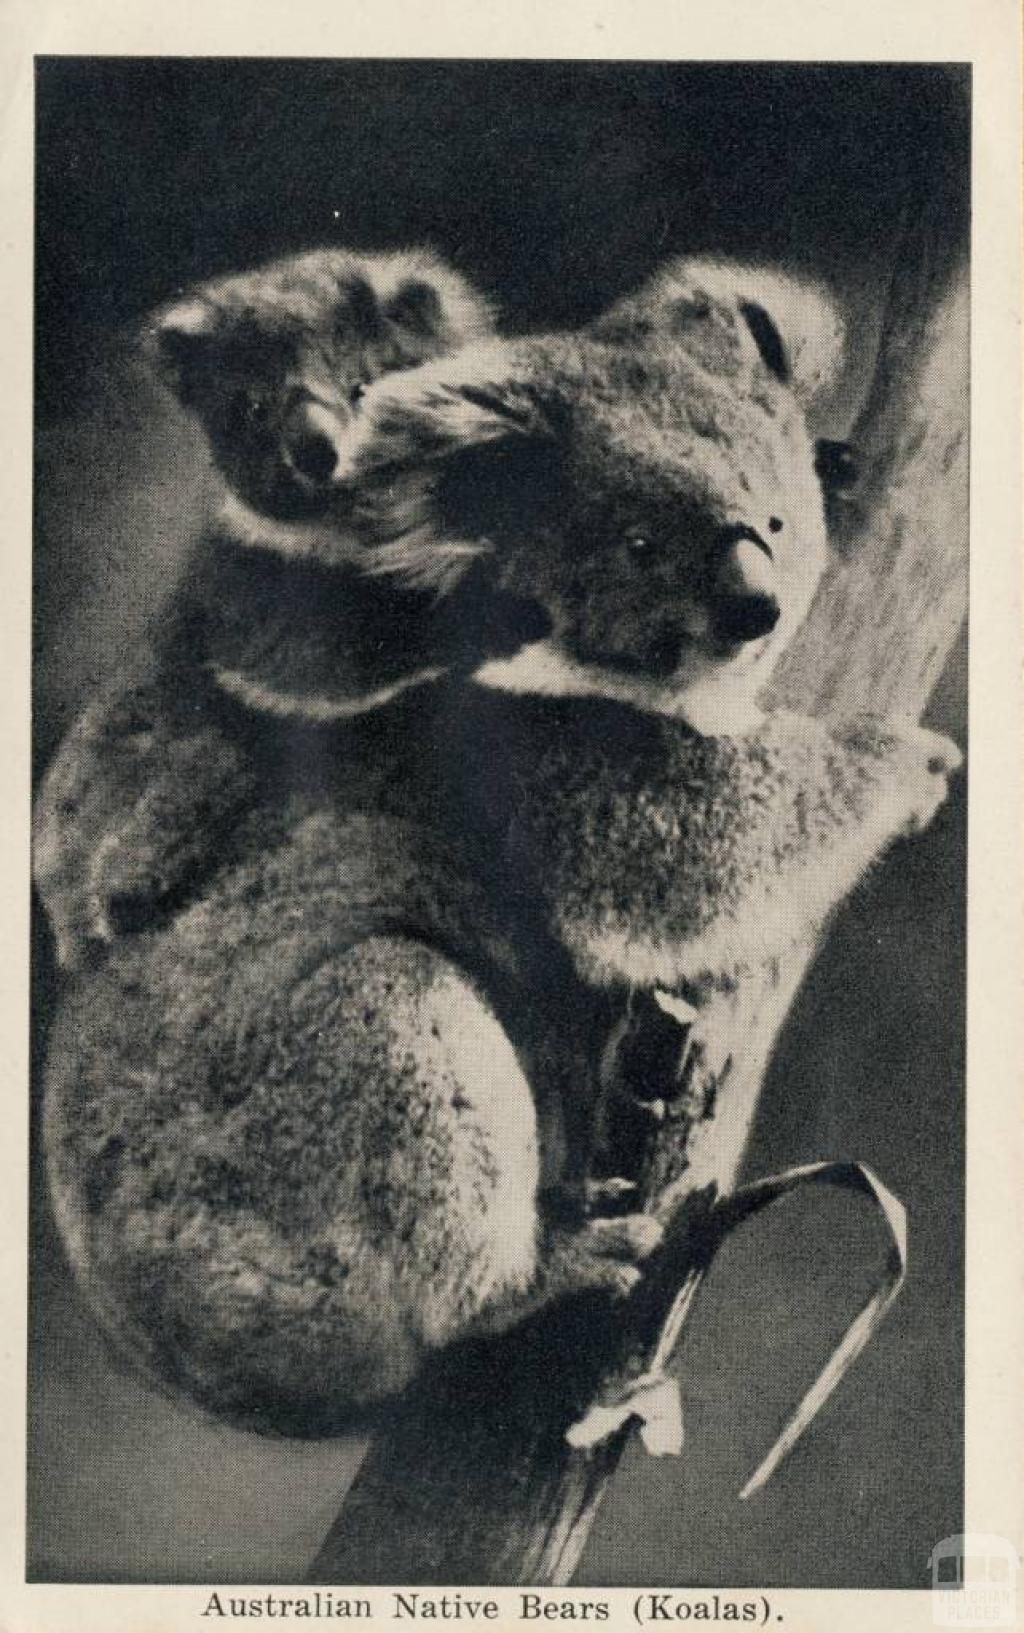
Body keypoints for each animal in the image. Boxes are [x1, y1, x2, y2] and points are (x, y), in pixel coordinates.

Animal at [39, 261, 961, 1433]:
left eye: (775, 517)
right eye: (639, 547)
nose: (752, 608)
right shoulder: (533, 766)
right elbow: (686, 854)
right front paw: (910, 761)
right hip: (275, 1188)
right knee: (398, 1026)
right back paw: (546, 1269)